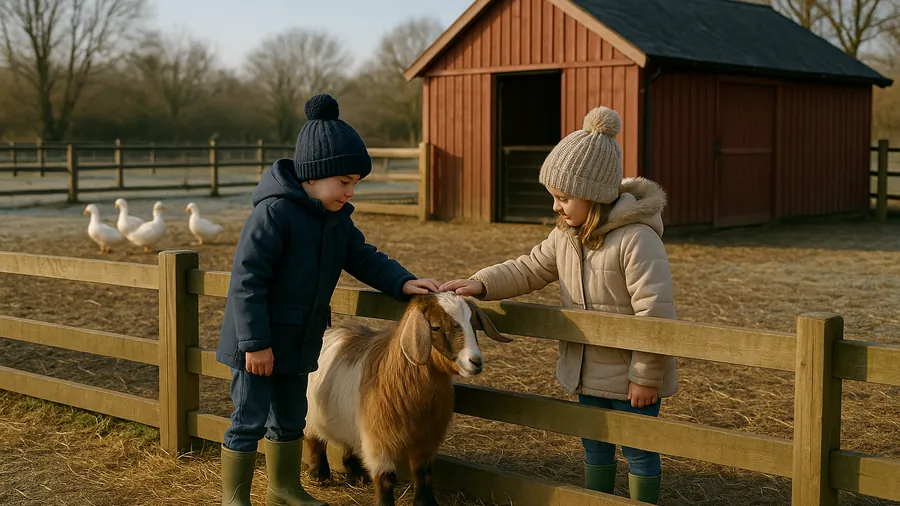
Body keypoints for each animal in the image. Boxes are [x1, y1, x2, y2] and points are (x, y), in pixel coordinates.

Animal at [303, 292, 511, 506]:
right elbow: (386, 478)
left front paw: (427, 502)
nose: (475, 362)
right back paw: (319, 474)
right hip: (312, 414)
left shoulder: (427, 437)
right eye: (435, 327)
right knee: (313, 438)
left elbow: (423, 473)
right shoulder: (379, 439)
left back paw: (357, 475)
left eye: (473, 323)